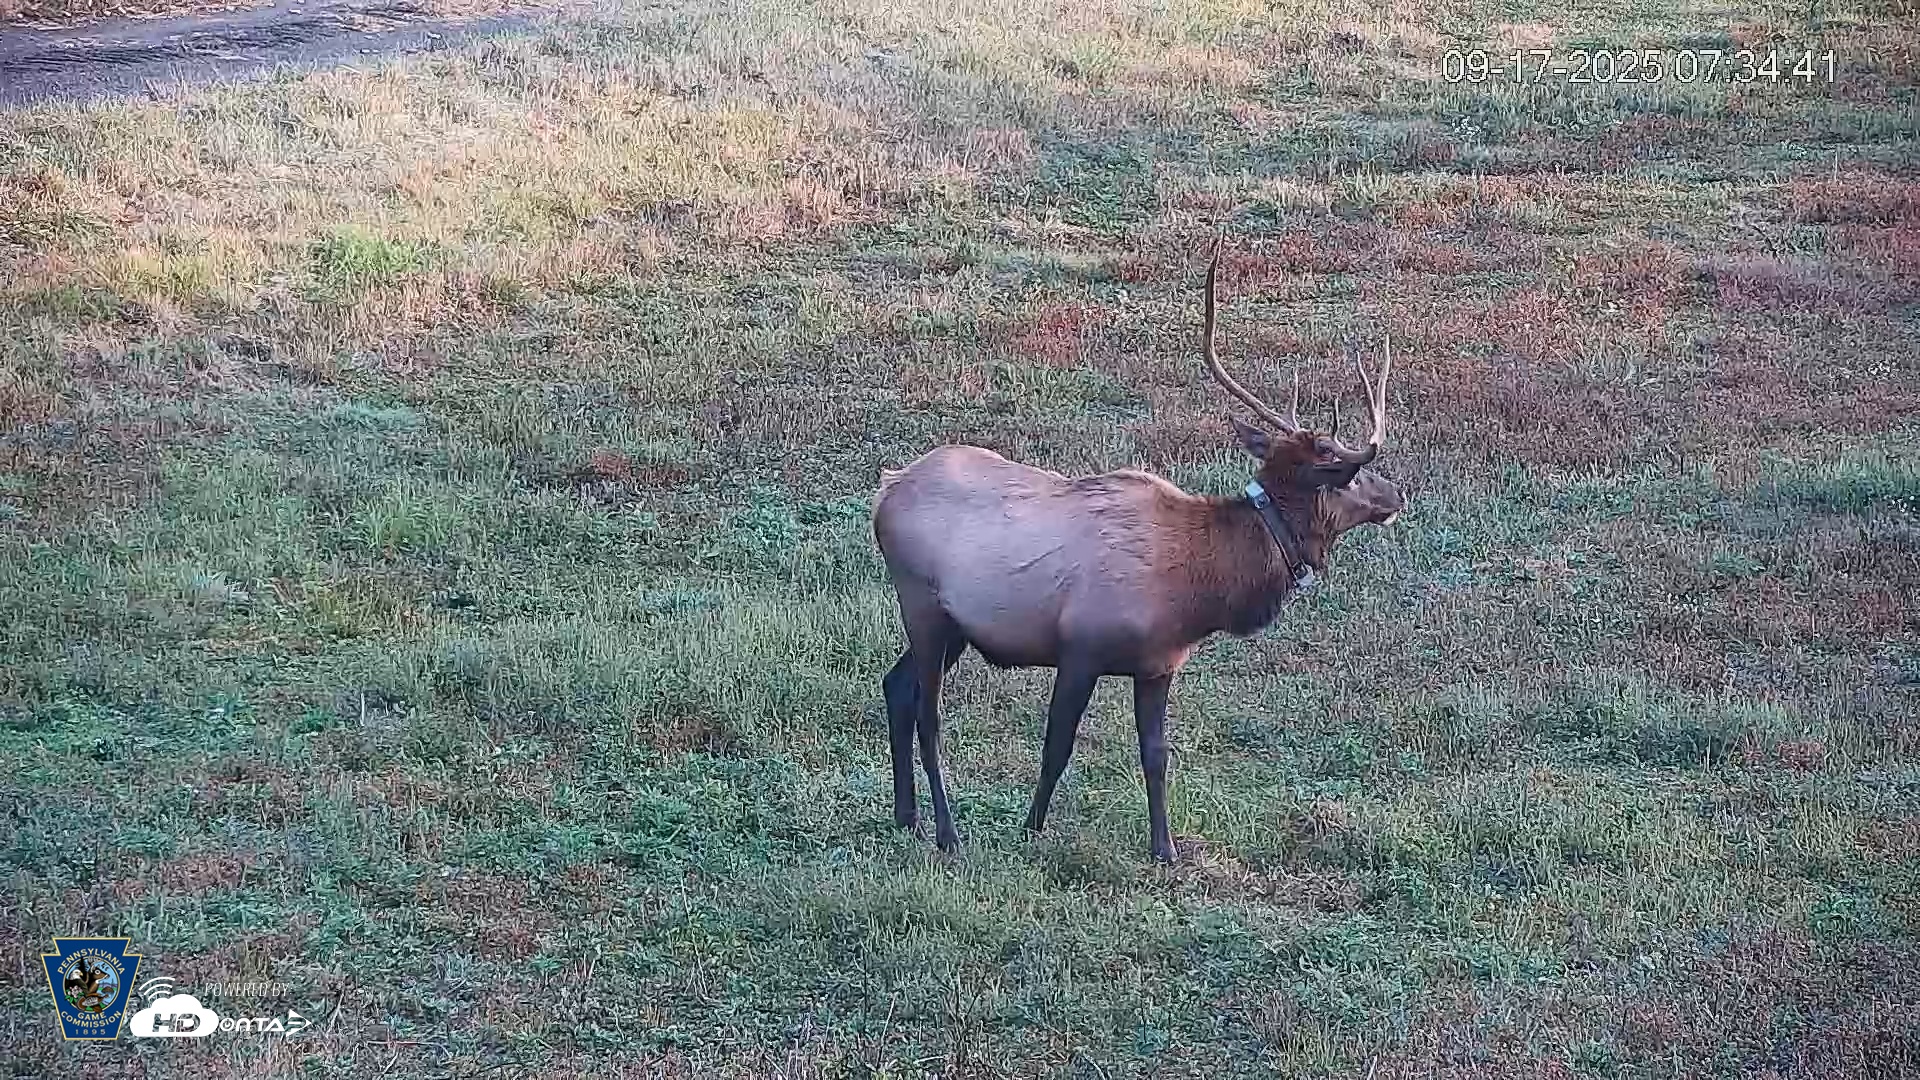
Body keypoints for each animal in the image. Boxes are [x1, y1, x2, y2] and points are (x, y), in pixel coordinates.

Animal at [870, 241, 1404, 863]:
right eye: (1346, 475)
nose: (1396, 494)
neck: (1200, 589)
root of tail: (885, 490)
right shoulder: (1080, 647)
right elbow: (1057, 746)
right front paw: (1032, 829)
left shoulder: (1158, 664)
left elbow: (1155, 754)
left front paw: (1164, 849)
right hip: (924, 606)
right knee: (928, 714)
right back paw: (947, 832)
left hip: (955, 626)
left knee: (897, 686)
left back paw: (906, 816)